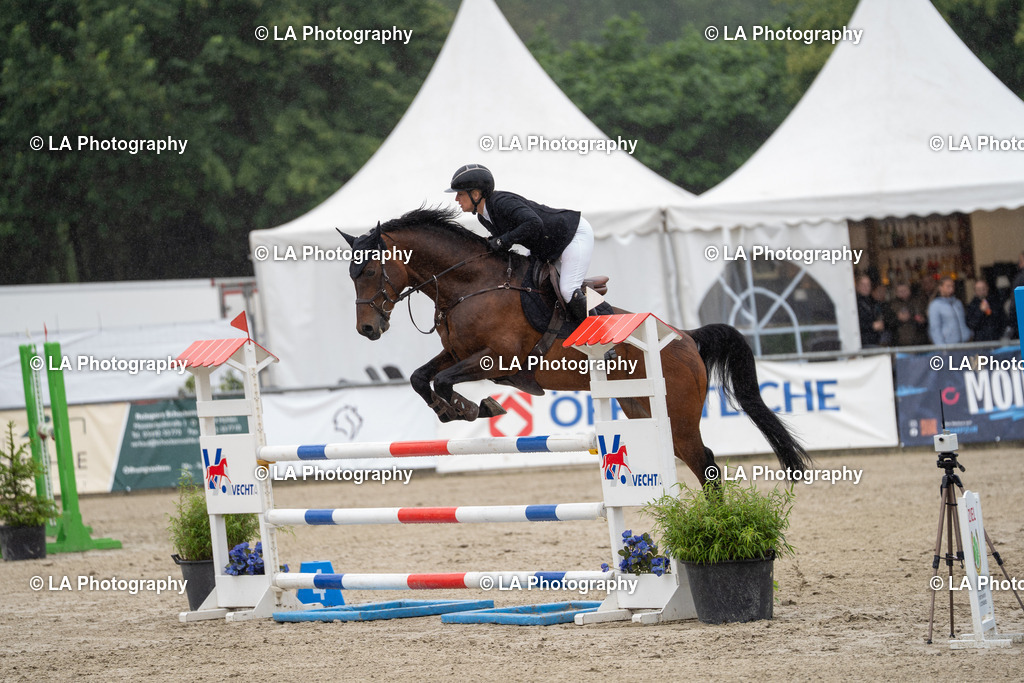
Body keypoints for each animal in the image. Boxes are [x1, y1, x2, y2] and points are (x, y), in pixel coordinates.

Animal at [339, 206, 809, 486]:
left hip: (678, 416)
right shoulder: (457, 353)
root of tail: (687, 340)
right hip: (641, 409)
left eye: (369, 271)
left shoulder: (496, 358)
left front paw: (475, 408)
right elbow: (422, 378)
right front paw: (452, 411)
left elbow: (443, 381)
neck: (470, 284)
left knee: (706, 463)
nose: (366, 329)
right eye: (351, 275)